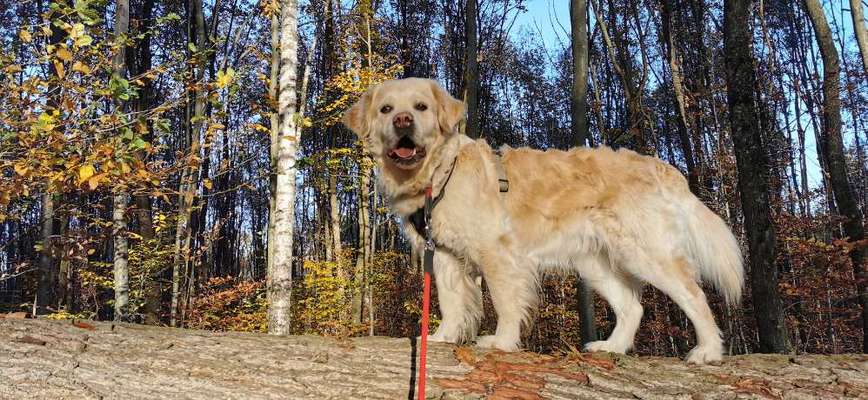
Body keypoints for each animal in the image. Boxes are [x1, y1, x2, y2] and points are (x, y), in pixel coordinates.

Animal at [342, 76, 744, 364]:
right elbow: (451, 302)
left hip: (646, 253)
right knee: (633, 306)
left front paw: (502, 342)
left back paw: (708, 351)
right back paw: (612, 347)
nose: (403, 121)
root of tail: (663, 168)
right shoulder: (443, 256)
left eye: (421, 107)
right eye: (387, 109)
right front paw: (442, 338)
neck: (439, 173)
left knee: (694, 295)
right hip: (595, 263)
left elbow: (505, 303)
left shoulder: (497, 253)